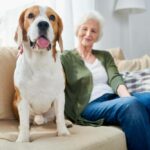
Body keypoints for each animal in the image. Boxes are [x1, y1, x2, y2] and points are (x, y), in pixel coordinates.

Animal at [12, 5, 70, 142]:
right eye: (30, 15)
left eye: (52, 17)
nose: (43, 24)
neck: (40, 61)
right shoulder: (22, 99)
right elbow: (24, 122)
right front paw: (23, 139)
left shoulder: (59, 95)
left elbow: (60, 116)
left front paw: (63, 132)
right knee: (27, 121)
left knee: (55, 117)